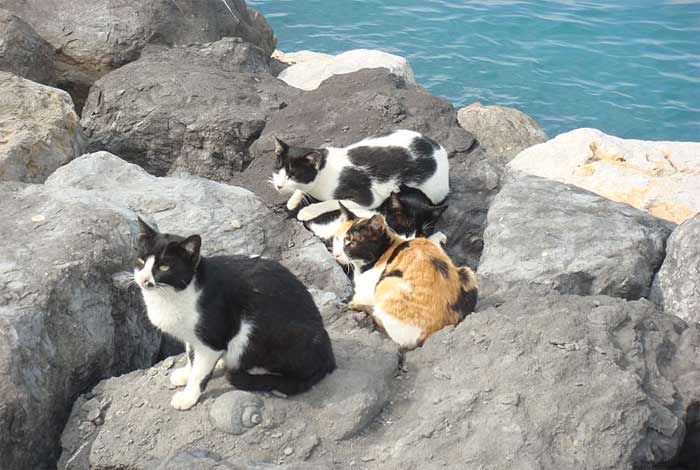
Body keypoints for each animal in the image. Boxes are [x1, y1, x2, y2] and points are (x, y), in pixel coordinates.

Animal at [135, 218, 338, 410]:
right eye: (140, 261)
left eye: (164, 267)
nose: (143, 279)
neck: (173, 295)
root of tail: (328, 353)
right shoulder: (191, 335)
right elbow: (191, 355)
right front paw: (186, 373)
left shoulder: (212, 337)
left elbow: (199, 373)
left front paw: (188, 397)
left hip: (261, 334)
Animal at [270, 129, 452, 223]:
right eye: (278, 170)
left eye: (293, 174)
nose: (278, 186)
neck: (324, 170)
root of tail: (439, 149)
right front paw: (293, 200)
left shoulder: (367, 198)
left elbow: (331, 202)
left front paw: (307, 211)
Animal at [332, 204, 476, 350]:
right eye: (338, 239)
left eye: (352, 243)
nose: (337, 254)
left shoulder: (367, 290)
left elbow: (357, 297)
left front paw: (347, 302)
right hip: (467, 273)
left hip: (387, 284)